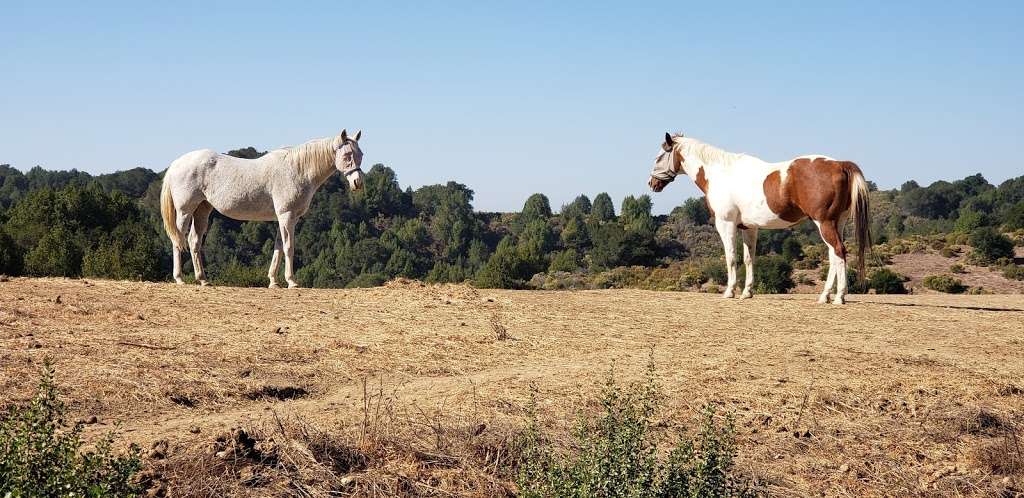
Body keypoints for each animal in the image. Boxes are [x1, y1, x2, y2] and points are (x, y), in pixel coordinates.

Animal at [157, 129, 366, 286]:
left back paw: (203, 280)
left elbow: (278, 247)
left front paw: (273, 281)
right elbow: (289, 247)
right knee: (178, 239)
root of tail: (176, 164)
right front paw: (291, 281)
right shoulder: (287, 216)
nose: (357, 183)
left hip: (202, 210)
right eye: (347, 155)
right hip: (185, 211)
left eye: (361, 155)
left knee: (193, 241)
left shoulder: (285, 218)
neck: (297, 170)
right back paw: (179, 278)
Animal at [651, 132, 868, 303]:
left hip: (824, 223)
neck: (721, 173)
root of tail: (839, 165)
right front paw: (747, 292)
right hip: (837, 223)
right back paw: (825, 296)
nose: (652, 183)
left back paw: (839, 297)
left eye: (660, 156)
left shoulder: (726, 224)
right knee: (834, 255)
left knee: (838, 252)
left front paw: (730, 291)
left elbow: (731, 257)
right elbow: (749, 259)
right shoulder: (749, 228)